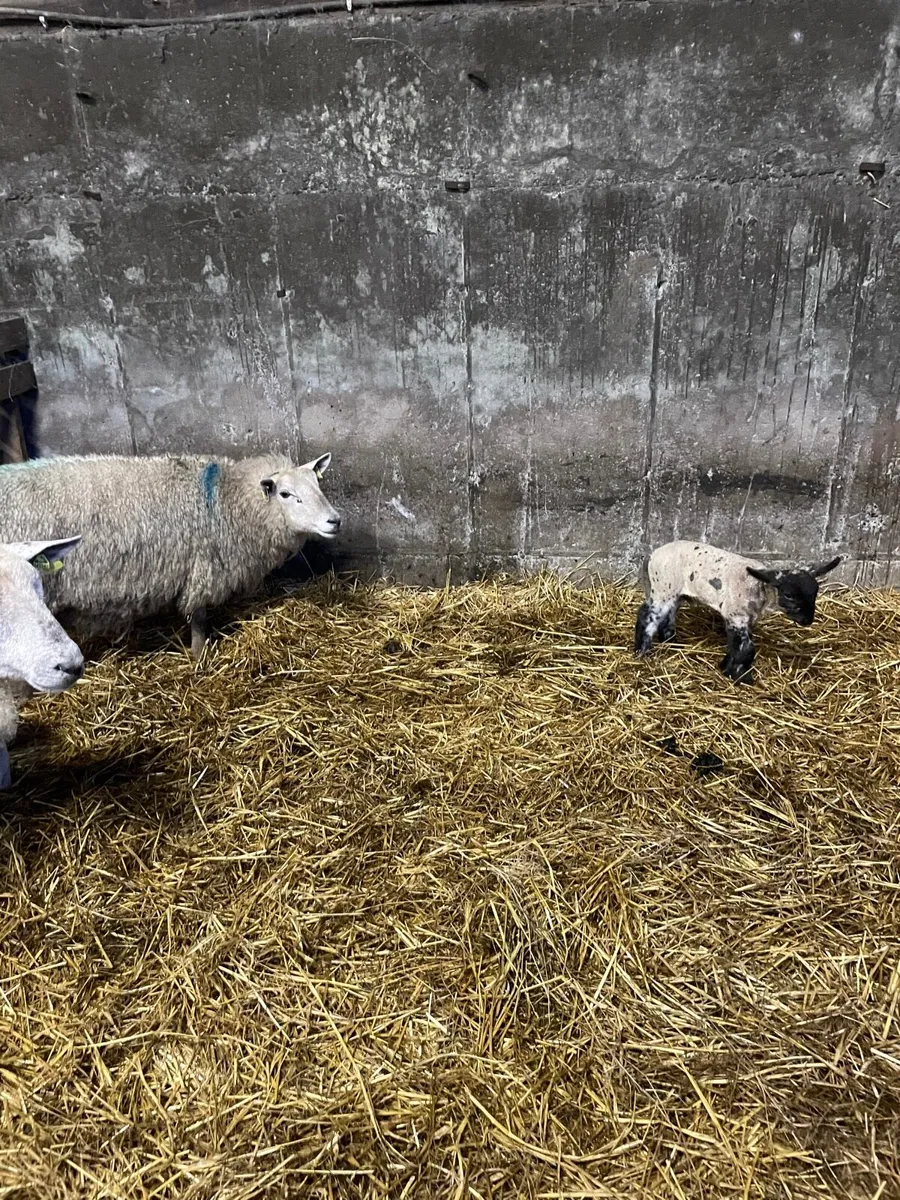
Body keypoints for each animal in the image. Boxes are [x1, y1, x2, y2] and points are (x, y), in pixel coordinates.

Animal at [0, 452, 341, 658]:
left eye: (318, 484)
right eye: (286, 494)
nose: (334, 521)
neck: (224, 499)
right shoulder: (202, 568)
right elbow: (199, 617)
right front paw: (199, 654)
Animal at [634, 540, 841, 682]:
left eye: (815, 592)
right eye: (788, 594)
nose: (807, 620)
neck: (759, 588)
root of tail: (652, 554)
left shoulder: (746, 619)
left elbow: (736, 645)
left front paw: (727, 667)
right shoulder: (736, 616)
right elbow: (746, 648)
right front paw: (741, 677)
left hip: (675, 594)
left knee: (667, 616)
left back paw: (672, 643)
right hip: (664, 588)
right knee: (647, 616)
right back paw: (642, 651)